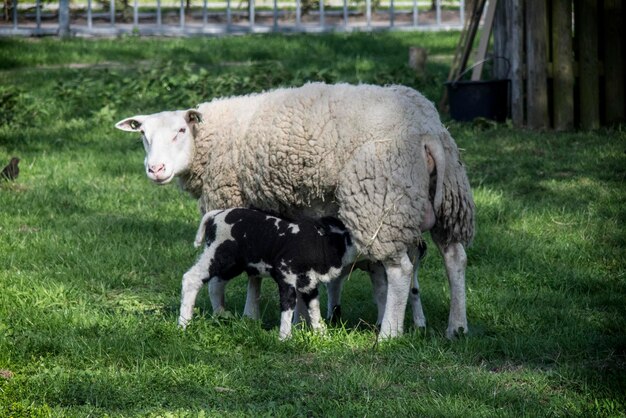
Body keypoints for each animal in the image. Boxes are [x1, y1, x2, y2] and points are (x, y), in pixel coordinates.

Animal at [178, 207, 358, 342]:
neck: (318, 245)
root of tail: (216, 215)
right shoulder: (286, 276)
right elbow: (287, 307)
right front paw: (285, 338)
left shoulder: (309, 283)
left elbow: (314, 310)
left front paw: (322, 335)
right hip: (219, 252)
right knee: (192, 278)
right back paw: (184, 324)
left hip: (232, 263)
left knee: (215, 283)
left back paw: (221, 315)